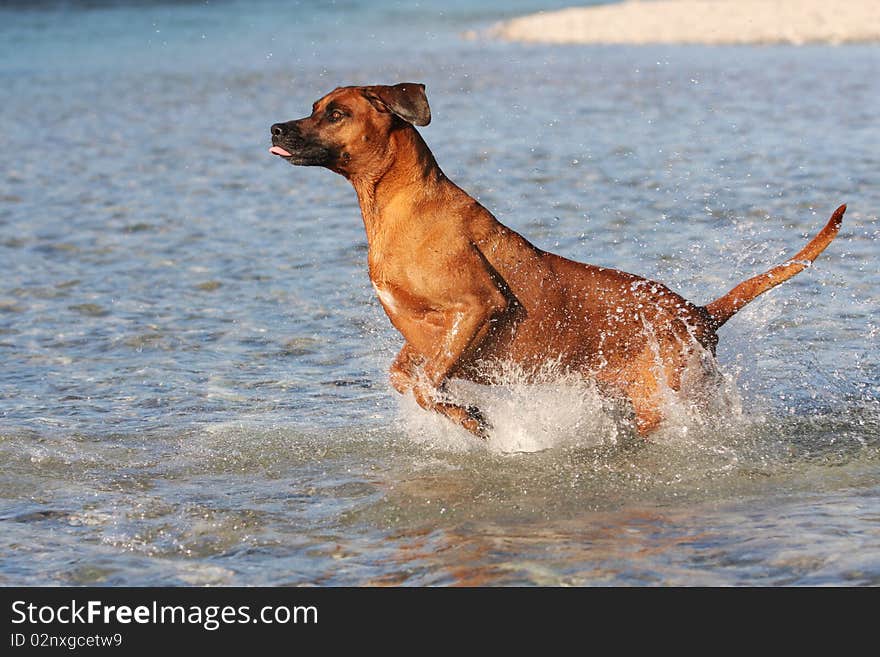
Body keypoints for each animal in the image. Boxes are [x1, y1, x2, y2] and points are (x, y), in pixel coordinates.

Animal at [270, 84, 844, 438]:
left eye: (336, 113)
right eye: (313, 105)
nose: (275, 128)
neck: (398, 203)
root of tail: (700, 314)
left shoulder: (478, 306)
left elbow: (429, 384)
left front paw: (471, 418)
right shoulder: (423, 337)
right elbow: (407, 378)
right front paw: (461, 414)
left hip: (666, 401)